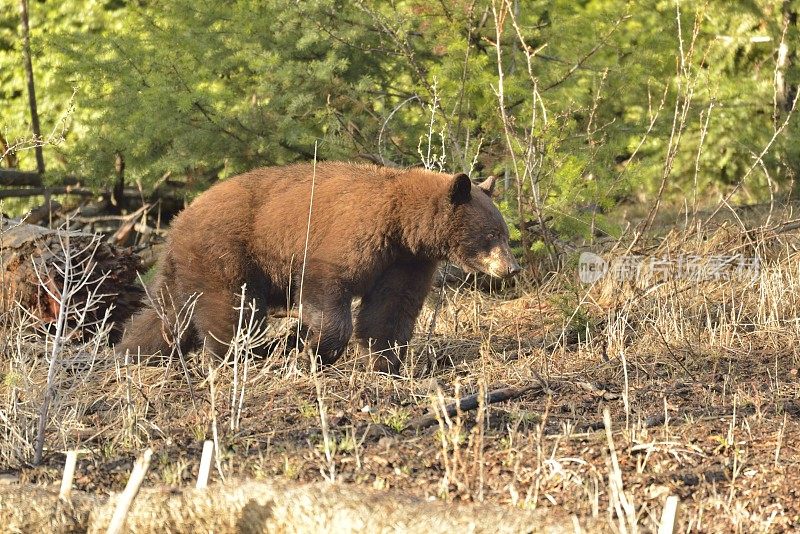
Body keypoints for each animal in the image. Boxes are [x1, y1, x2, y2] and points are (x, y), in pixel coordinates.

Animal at [117, 161, 520, 374]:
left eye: (504, 233)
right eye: (491, 235)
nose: (512, 268)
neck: (401, 223)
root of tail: (177, 222)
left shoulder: (406, 260)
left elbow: (391, 307)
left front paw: (385, 361)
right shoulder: (348, 237)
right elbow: (326, 290)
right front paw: (314, 352)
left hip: (186, 268)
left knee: (165, 315)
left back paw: (131, 353)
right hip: (225, 254)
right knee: (232, 310)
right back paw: (235, 357)